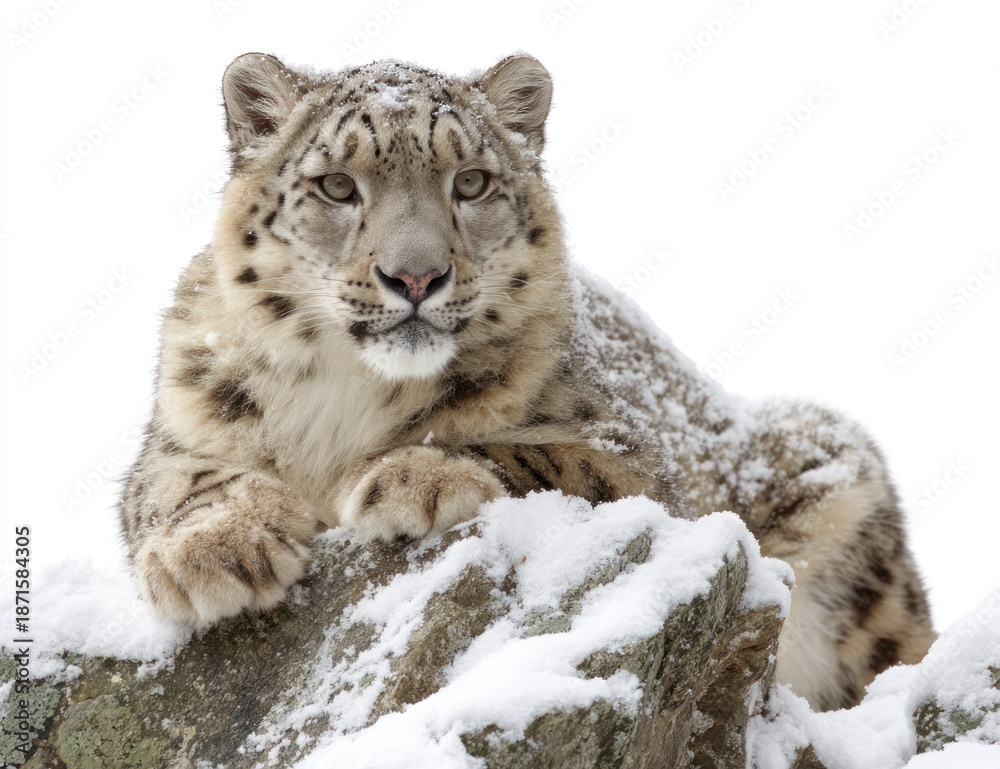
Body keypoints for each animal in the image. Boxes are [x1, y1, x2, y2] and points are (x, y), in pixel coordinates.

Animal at [119, 52, 935, 712]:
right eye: (337, 186)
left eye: (472, 182)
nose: (415, 276)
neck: (346, 397)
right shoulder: (178, 429)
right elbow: (176, 484)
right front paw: (215, 549)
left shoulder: (627, 454)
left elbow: (537, 451)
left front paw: (413, 478)